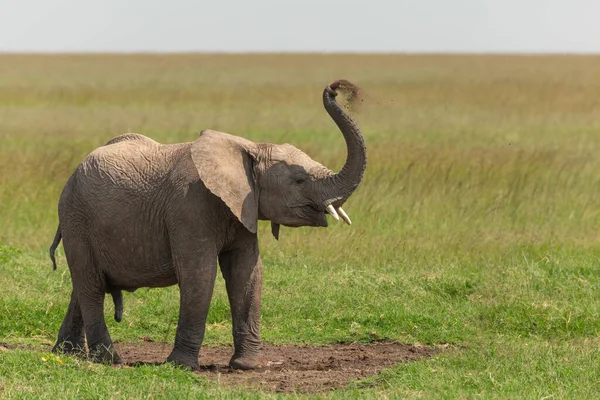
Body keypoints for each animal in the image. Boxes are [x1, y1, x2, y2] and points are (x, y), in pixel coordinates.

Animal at [48, 79, 366, 370]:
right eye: (299, 181)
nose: (337, 88)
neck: (249, 149)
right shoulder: (189, 208)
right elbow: (199, 274)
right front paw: (181, 366)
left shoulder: (242, 210)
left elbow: (247, 272)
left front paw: (246, 366)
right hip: (76, 218)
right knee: (91, 285)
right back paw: (108, 360)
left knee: (84, 284)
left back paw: (66, 354)